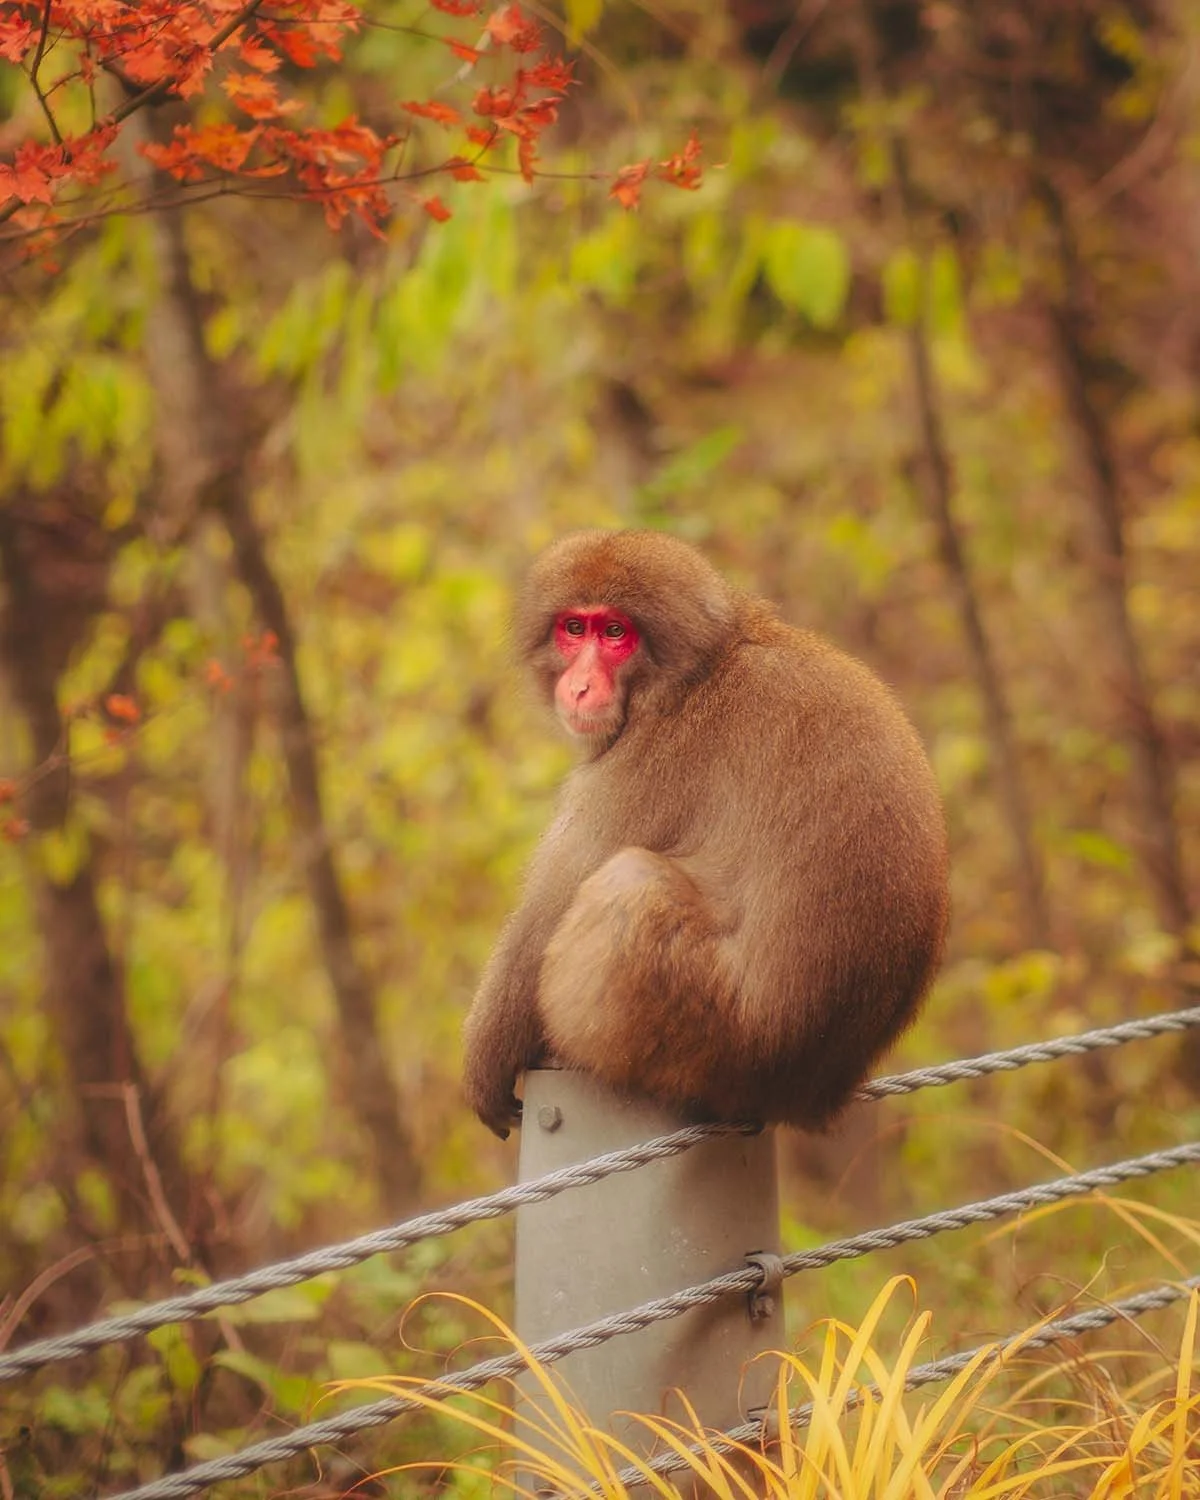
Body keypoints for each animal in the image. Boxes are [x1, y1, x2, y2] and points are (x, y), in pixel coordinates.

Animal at [462, 530, 949, 1139]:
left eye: (615, 633)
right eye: (574, 628)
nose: (579, 688)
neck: (704, 667)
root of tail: (803, 1093)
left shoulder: (648, 759)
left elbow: (546, 915)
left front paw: (487, 1058)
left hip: (703, 1031)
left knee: (631, 883)